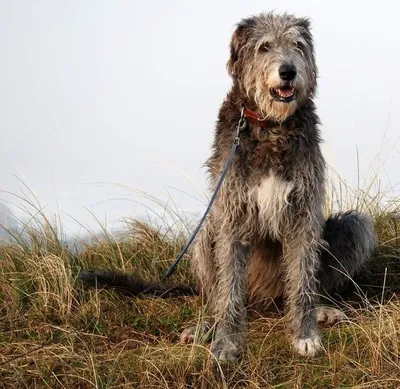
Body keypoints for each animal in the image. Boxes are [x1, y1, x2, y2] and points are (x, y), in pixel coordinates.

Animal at [80, 12, 376, 364]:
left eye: (298, 45)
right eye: (265, 47)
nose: (288, 72)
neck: (270, 127)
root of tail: (265, 300)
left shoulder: (304, 211)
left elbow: (303, 280)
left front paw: (305, 335)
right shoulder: (232, 210)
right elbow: (229, 287)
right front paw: (226, 343)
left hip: (352, 227)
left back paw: (323, 310)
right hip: (207, 231)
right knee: (217, 293)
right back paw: (206, 325)